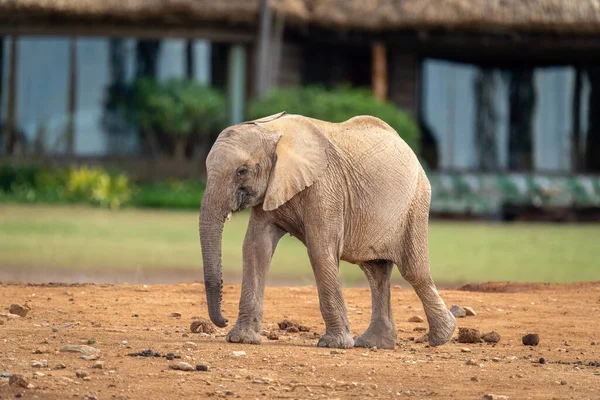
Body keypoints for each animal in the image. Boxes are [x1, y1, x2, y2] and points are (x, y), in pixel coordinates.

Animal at [199, 111, 458, 348]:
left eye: (242, 171)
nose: (222, 320)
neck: (271, 129)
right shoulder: (273, 187)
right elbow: (255, 247)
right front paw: (241, 339)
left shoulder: (325, 186)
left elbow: (320, 250)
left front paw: (335, 344)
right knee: (376, 273)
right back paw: (373, 343)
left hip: (416, 201)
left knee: (414, 272)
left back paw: (441, 337)